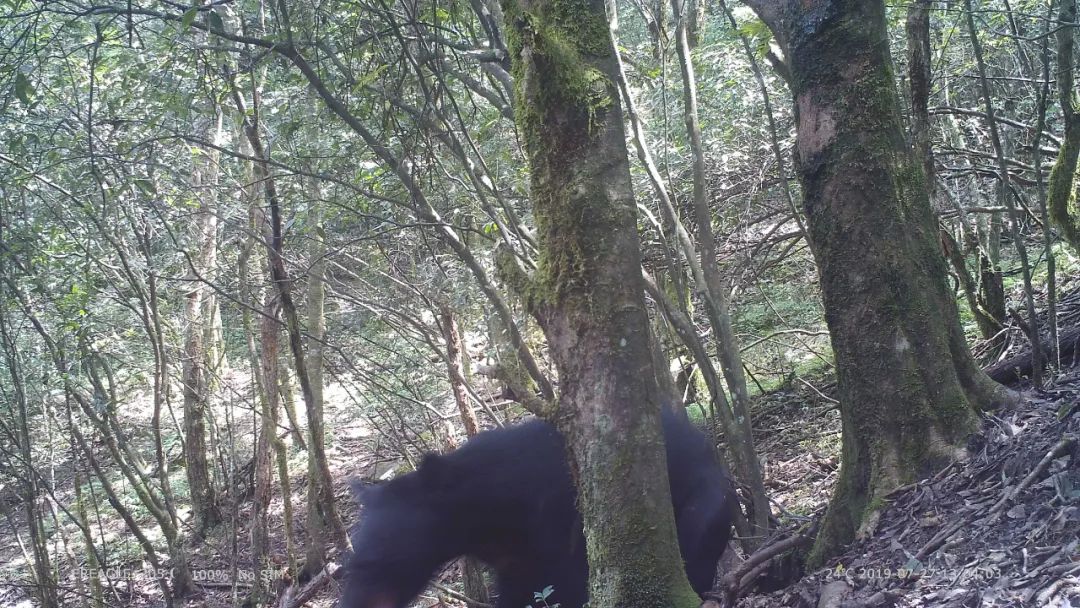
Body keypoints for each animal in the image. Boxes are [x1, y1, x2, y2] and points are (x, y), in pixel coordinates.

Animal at [341, 408, 738, 608]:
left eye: (381, 562)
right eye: (350, 564)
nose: (353, 604)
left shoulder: (556, 522)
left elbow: (565, 584)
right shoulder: (510, 557)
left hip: (702, 504)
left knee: (696, 548)